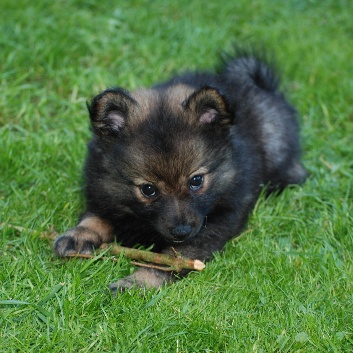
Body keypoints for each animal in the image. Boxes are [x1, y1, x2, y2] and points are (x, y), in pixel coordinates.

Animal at [54, 50, 306, 292]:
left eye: (196, 181)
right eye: (148, 189)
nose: (182, 231)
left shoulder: (213, 226)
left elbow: (166, 261)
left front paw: (137, 283)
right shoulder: (102, 193)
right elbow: (94, 217)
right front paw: (77, 235)